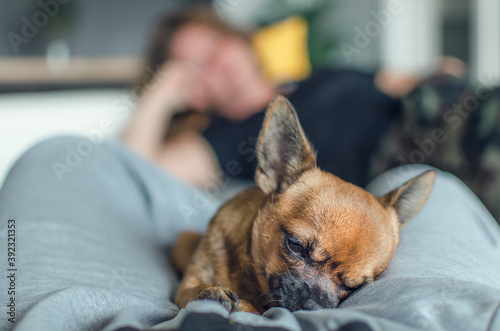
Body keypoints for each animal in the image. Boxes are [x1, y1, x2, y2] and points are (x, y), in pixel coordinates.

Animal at [171, 94, 434, 316]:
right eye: (295, 245)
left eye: (356, 287)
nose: (312, 306)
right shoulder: (185, 289)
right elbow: (197, 290)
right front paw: (212, 293)